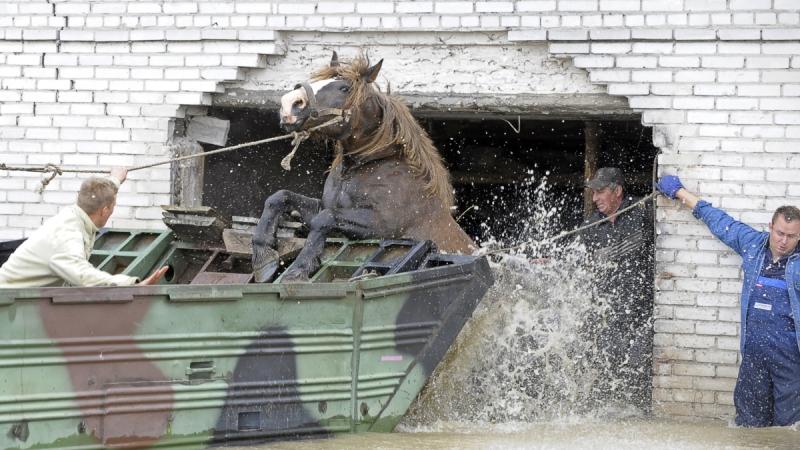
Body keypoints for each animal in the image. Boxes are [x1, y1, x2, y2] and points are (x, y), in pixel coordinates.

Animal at [250, 52, 476, 282]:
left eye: (345, 88)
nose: (290, 104)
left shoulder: (383, 226)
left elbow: (324, 219)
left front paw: (299, 269)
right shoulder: (323, 206)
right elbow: (279, 198)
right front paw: (264, 256)